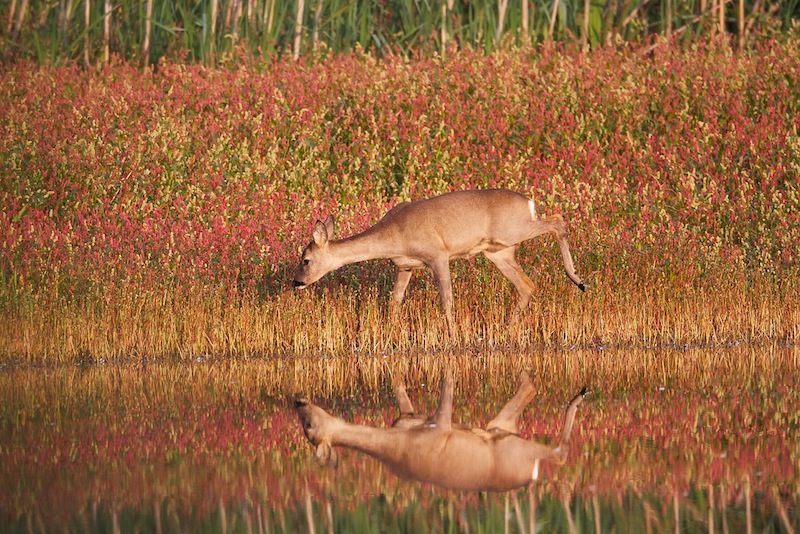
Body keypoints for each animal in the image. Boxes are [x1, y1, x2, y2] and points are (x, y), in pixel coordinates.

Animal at [290, 188, 584, 336]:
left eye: (306, 260)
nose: (296, 282)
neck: (395, 234)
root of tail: (529, 202)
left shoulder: (438, 255)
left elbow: (447, 299)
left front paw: (452, 336)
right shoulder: (405, 266)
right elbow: (395, 300)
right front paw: (389, 334)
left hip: (513, 231)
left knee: (558, 220)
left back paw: (577, 279)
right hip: (498, 251)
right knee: (527, 285)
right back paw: (505, 331)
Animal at [294, 372, 588, 494]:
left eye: (308, 427)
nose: (298, 402)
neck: (397, 445)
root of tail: (529, 475)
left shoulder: (437, 427)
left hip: (516, 449)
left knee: (560, 453)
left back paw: (580, 395)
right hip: (508, 439)